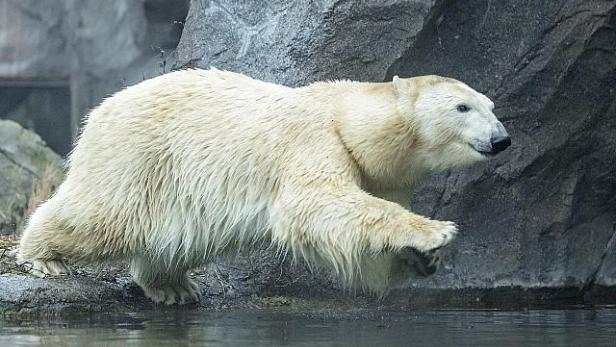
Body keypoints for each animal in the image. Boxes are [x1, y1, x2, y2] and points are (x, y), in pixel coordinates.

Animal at [18, 69, 510, 306]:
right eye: (462, 107)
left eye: (489, 105)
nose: (502, 139)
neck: (348, 120)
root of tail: (100, 111)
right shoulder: (313, 140)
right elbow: (317, 205)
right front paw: (436, 231)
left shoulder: (379, 174)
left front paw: (423, 258)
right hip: (140, 155)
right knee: (102, 215)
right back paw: (43, 257)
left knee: (173, 238)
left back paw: (172, 287)